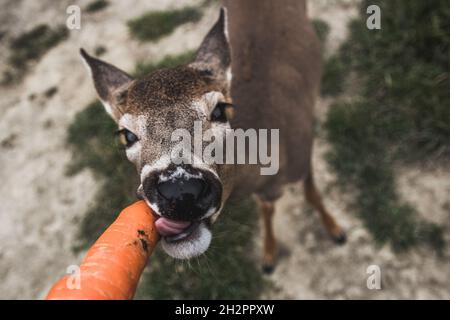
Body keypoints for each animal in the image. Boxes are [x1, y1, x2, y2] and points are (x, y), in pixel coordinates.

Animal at [81, 0, 346, 272]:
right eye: (127, 135)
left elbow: (312, 195)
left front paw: (336, 230)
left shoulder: (303, 152)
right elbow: (267, 209)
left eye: (220, 110)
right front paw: (269, 254)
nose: (180, 191)